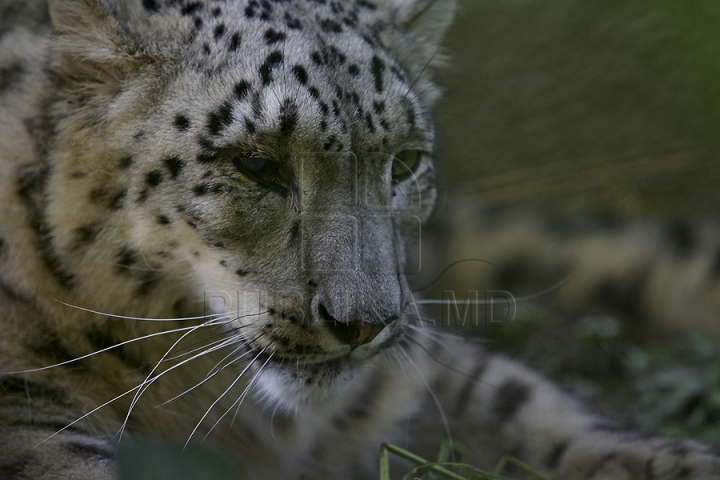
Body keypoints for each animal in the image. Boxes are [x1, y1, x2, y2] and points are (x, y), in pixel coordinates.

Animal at [0, 0, 716, 478]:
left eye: (404, 162)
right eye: (256, 164)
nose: (366, 323)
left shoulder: (408, 375)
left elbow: (533, 408)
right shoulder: (28, 420)